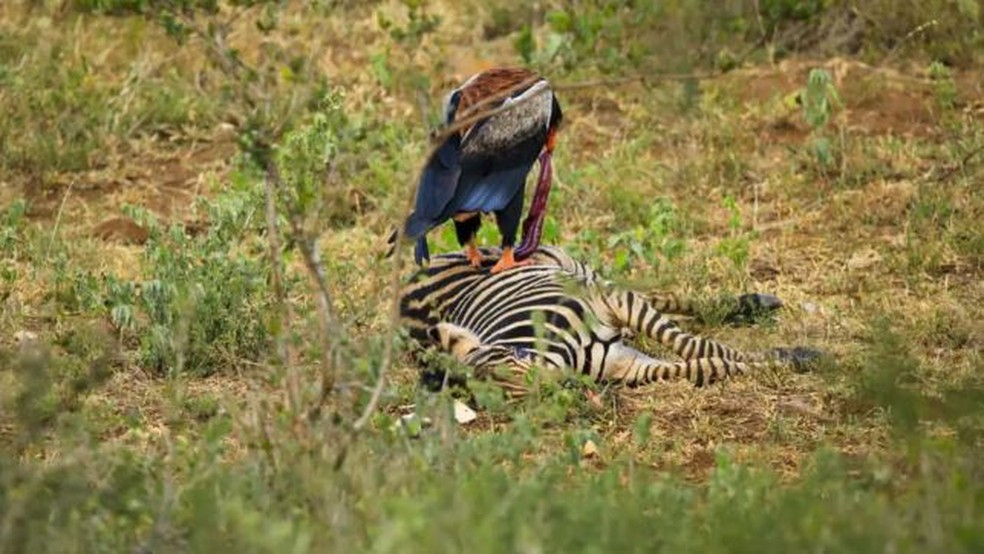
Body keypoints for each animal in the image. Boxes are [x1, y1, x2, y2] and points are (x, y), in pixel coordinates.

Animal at [400, 245, 820, 398]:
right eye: (513, 399)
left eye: (516, 365)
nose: (573, 390)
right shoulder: (625, 364)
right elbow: (706, 366)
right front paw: (783, 361)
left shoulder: (612, 302)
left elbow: (696, 345)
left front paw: (801, 356)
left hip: (577, 271)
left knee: (659, 298)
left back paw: (751, 303)